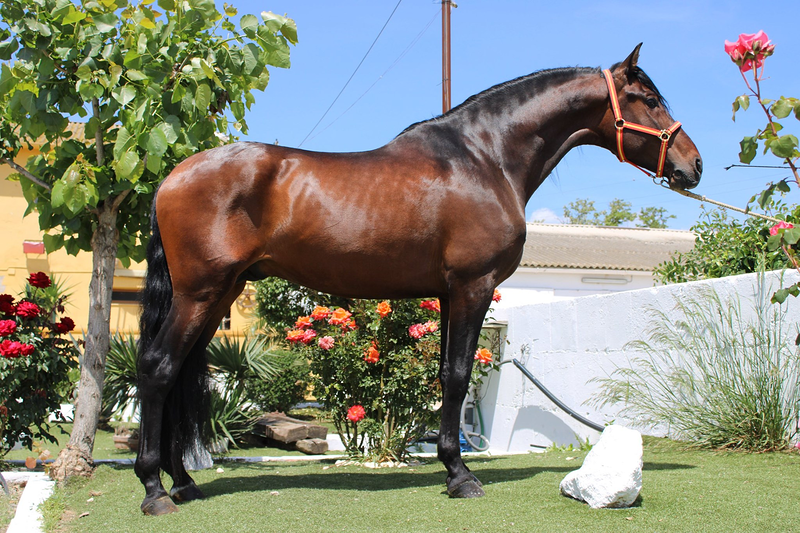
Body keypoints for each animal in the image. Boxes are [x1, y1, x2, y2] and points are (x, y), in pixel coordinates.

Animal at [135, 44, 702, 515]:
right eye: (649, 99)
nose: (694, 165)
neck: (484, 158)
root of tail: (171, 177)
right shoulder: (473, 286)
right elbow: (457, 376)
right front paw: (461, 476)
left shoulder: (449, 294)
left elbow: (447, 378)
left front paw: (453, 467)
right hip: (201, 292)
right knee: (159, 368)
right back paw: (155, 490)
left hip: (218, 295)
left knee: (179, 372)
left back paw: (184, 481)